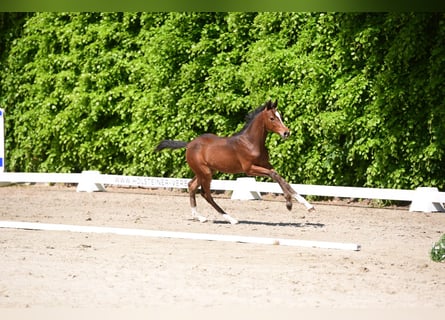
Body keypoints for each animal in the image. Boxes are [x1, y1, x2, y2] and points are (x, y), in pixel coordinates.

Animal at [154, 100, 314, 225]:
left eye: (280, 116)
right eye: (272, 118)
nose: (286, 133)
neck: (251, 142)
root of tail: (189, 144)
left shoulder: (265, 165)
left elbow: (281, 178)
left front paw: (308, 205)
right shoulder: (249, 169)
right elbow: (275, 176)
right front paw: (289, 204)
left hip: (206, 171)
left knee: (191, 186)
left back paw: (200, 217)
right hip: (205, 173)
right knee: (205, 194)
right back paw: (230, 219)